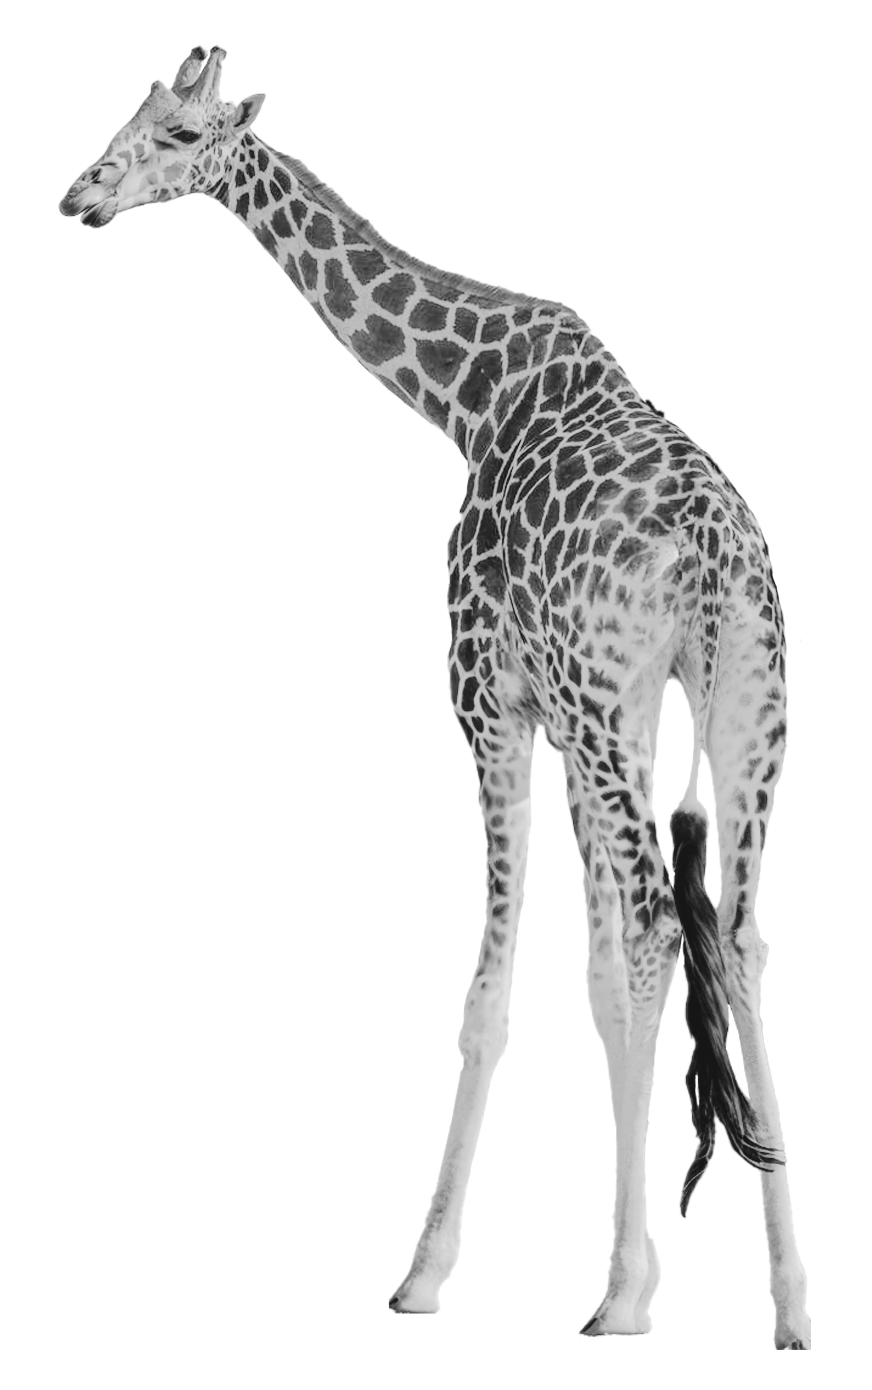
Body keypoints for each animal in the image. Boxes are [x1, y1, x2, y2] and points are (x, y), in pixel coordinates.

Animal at [60, 47, 811, 1349]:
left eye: (183, 133)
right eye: (136, 112)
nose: (81, 197)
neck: (472, 390)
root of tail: (716, 545)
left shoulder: (489, 703)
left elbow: (495, 998)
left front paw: (433, 1273)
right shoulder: (576, 727)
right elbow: (602, 982)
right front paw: (631, 1274)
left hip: (617, 715)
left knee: (665, 921)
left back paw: (627, 1301)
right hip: (736, 724)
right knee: (740, 934)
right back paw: (792, 1302)